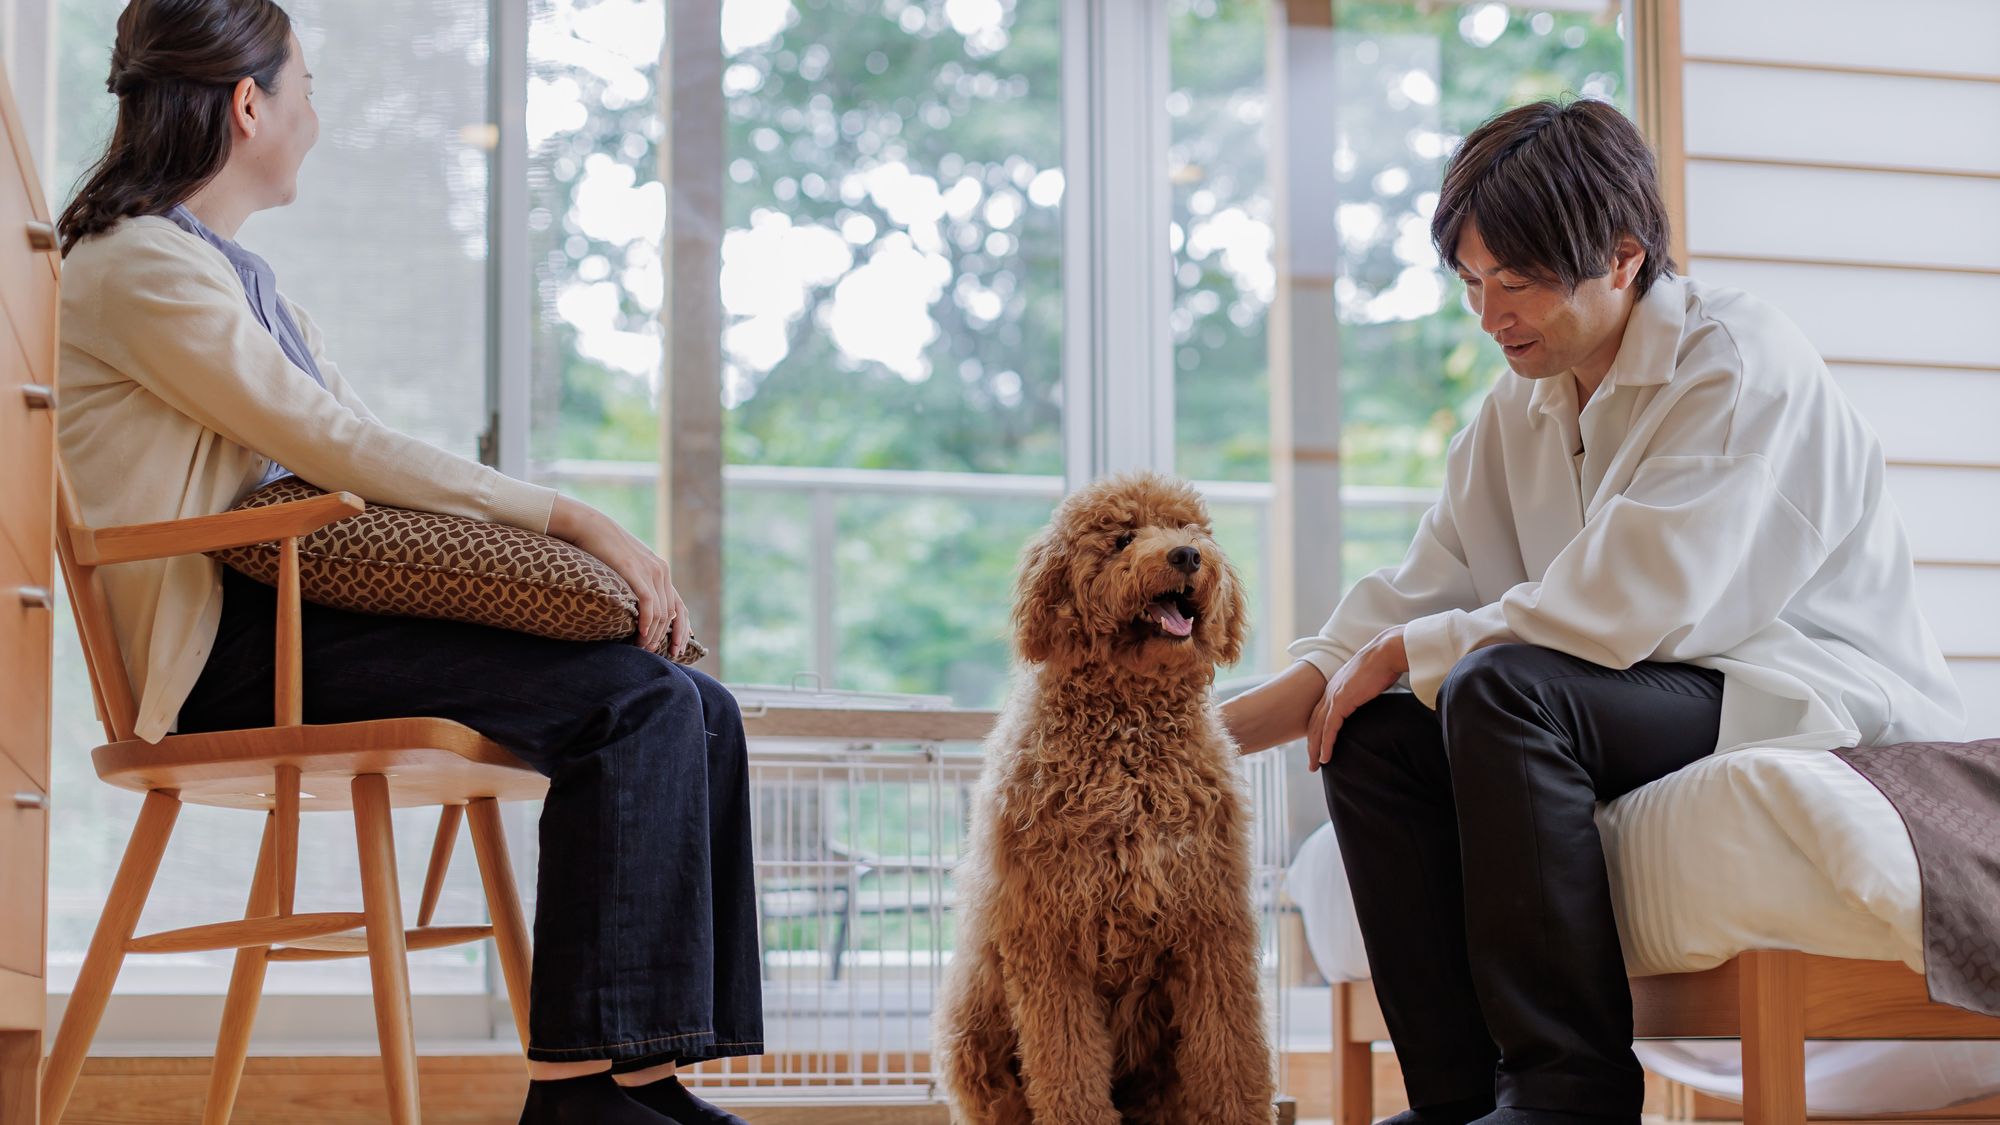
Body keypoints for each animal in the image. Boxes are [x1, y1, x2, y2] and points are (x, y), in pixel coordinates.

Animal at [932, 468, 1272, 1112]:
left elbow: (1232, 1058)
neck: (1129, 738)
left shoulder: (1212, 927)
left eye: (1189, 528)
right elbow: (1067, 1069)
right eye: (1122, 539)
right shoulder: (1049, 940)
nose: (1187, 555)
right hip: (975, 1031)